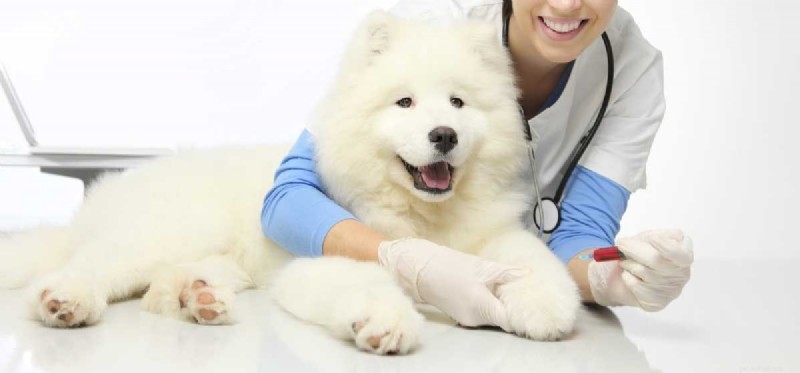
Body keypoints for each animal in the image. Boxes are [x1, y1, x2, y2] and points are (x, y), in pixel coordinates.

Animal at [0, 12, 580, 354]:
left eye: (459, 102)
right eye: (405, 102)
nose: (444, 135)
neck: (424, 216)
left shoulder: (490, 237)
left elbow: (532, 260)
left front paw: (544, 306)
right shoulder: (322, 258)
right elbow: (370, 280)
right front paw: (384, 323)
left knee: (158, 290)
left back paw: (198, 298)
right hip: (174, 230)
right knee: (88, 268)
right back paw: (67, 302)